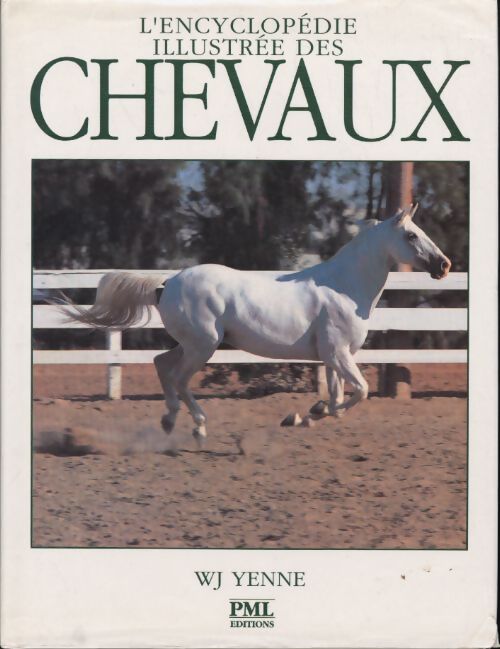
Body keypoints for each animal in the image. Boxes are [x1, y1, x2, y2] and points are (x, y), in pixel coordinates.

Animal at [63, 204, 451, 445]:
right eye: (412, 235)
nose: (444, 265)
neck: (345, 286)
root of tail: (167, 282)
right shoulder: (339, 354)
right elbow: (361, 392)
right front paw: (302, 415)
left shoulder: (332, 358)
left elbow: (339, 397)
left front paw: (309, 414)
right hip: (204, 345)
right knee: (179, 378)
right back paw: (196, 428)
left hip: (192, 343)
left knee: (162, 364)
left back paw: (171, 421)